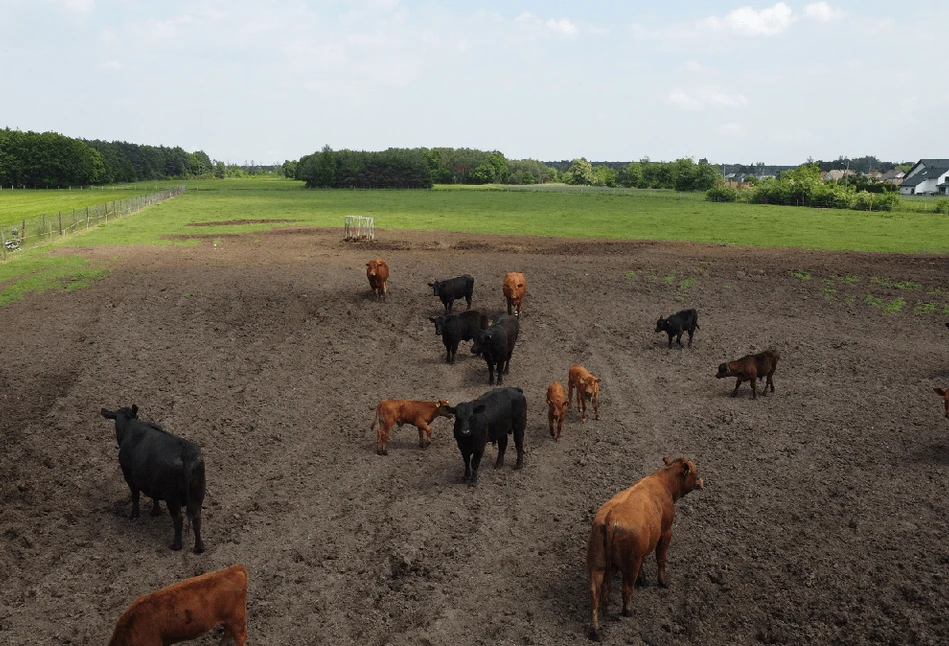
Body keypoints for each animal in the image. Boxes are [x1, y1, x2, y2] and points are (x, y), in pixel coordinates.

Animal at [101, 408, 206, 556]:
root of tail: (185, 452)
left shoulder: (129, 477)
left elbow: (135, 496)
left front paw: (134, 515)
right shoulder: (152, 483)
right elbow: (154, 496)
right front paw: (155, 511)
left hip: (172, 497)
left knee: (178, 518)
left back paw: (176, 545)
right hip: (197, 495)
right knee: (197, 519)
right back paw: (199, 548)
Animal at [584, 456, 704, 644]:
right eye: (695, 471)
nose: (701, 481)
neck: (663, 483)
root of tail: (611, 517)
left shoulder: (641, 549)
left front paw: (644, 579)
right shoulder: (666, 531)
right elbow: (661, 557)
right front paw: (663, 582)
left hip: (597, 565)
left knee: (595, 594)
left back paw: (595, 631)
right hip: (628, 565)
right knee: (626, 588)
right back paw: (628, 611)